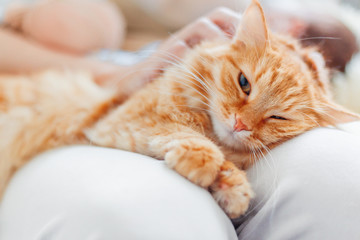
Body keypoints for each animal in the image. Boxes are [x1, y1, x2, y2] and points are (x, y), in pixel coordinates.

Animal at [0, 0, 358, 218]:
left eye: (277, 117)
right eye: (244, 83)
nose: (240, 124)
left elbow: (227, 165)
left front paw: (233, 189)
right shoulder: (120, 121)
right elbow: (187, 135)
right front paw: (202, 161)